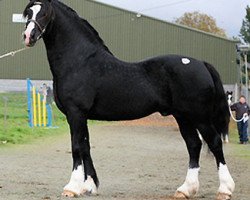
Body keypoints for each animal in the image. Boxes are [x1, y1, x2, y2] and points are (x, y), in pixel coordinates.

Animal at [23, 0, 234, 199]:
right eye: (29, 12)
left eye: (44, 13)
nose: (28, 36)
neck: (79, 61)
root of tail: (202, 64)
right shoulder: (81, 116)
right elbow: (85, 146)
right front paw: (89, 186)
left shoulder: (76, 113)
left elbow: (76, 147)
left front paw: (72, 188)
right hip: (183, 117)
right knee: (194, 145)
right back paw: (185, 190)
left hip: (200, 117)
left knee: (215, 143)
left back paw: (224, 189)